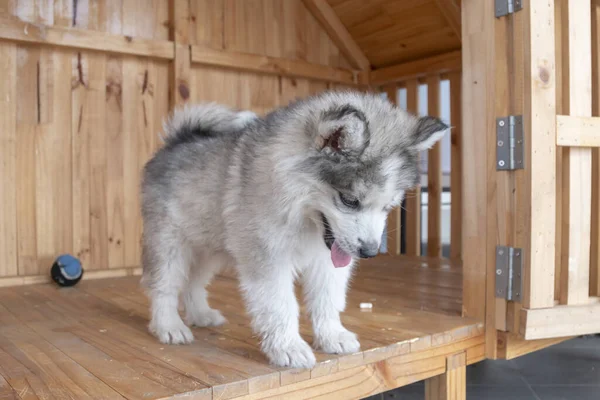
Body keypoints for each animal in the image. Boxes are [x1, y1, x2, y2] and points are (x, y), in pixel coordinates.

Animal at [142, 90, 446, 368]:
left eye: (388, 206)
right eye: (350, 200)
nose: (369, 252)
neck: (301, 213)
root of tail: (177, 141)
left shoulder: (328, 262)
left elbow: (327, 298)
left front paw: (332, 335)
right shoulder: (267, 257)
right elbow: (280, 305)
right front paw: (288, 348)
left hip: (208, 249)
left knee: (193, 283)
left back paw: (201, 315)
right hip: (170, 244)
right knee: (163, 286)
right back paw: (169, 326)